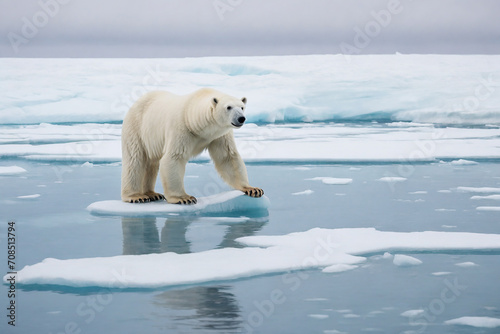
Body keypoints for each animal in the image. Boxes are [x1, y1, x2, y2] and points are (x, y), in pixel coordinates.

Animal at [120, 88, 264, 204]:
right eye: (228, 107)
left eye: (242, 107)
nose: (241, 118)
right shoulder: (181, 128)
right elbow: (174, 157)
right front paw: (183, 198)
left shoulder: (219, 135)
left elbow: (227, 157)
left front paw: (253, 189)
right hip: (137, 128)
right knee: (135, 159)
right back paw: (137, 196)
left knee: (151, 163)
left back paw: (152, 194)